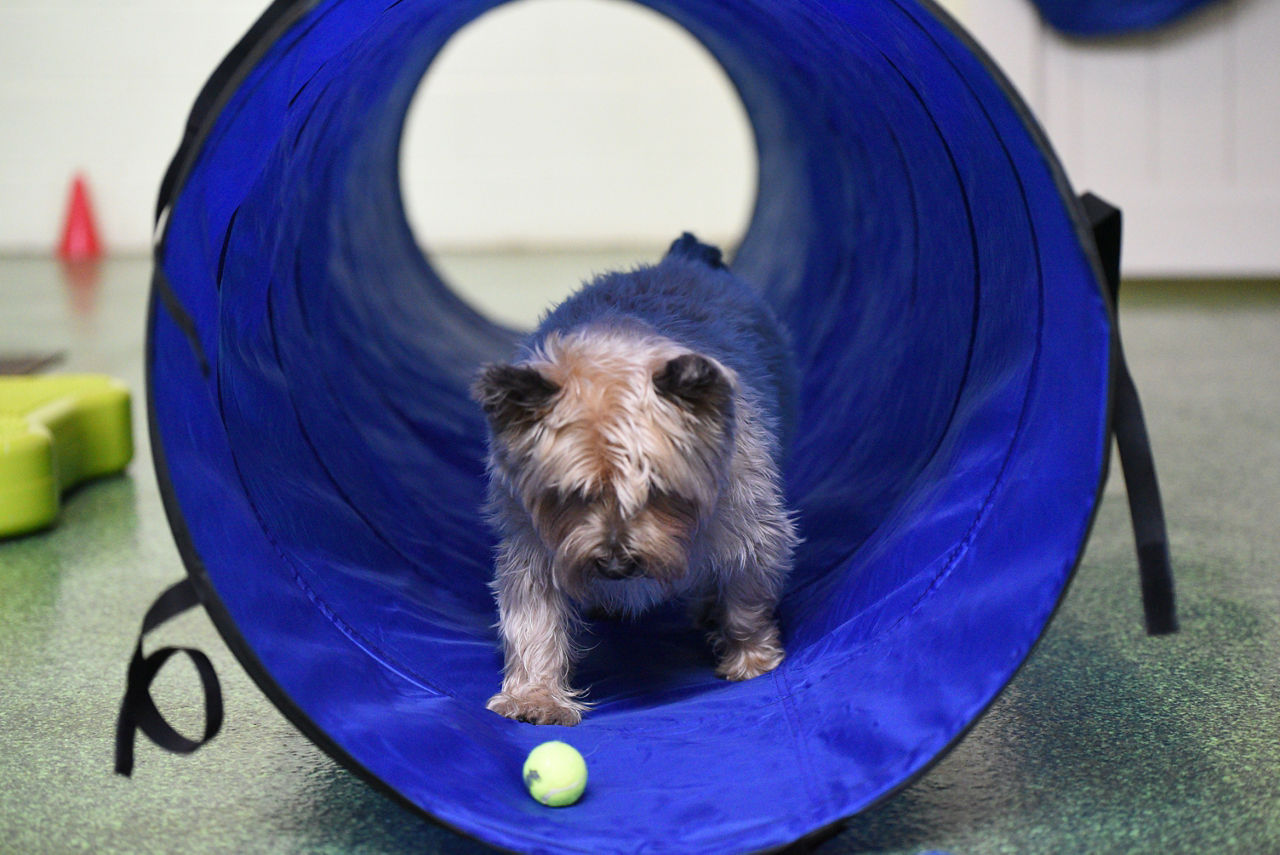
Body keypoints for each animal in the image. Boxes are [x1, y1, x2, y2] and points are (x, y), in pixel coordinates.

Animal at [476, 235, 793, 727]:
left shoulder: (751, 529)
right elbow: (534, 621)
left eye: (659, 492)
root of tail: (686, 259)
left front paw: (751, 659)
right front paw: (536, 696)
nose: (615, 564)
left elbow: (746, 599)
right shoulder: (531, 546)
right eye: (569, 496)